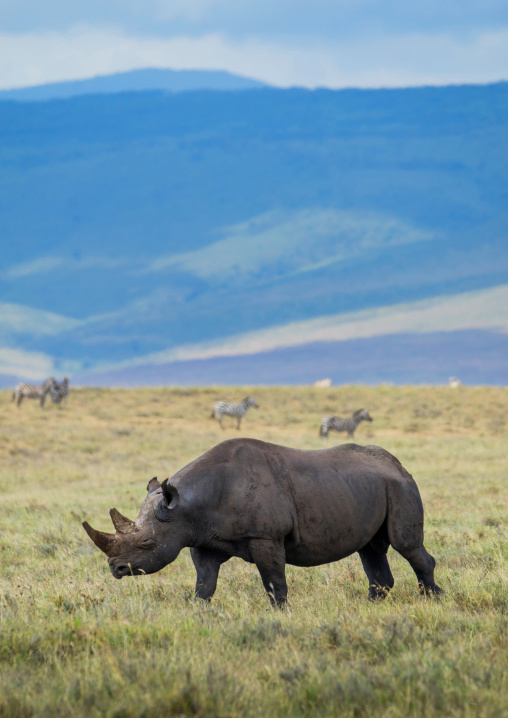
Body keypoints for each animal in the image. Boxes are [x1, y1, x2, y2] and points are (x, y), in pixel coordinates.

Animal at [82, 438, 441, 606]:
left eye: (147, 543)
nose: (115, 569)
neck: (184, 506)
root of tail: (398, 464)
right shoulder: (202, 537)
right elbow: (204, 584)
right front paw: (199, 613)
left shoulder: (265, 537)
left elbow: (274, 582)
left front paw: (282, 615)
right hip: (366, 487)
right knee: (370, 549)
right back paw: (369, 607)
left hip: (401, 487)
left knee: (406, 544)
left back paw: (434, 600)